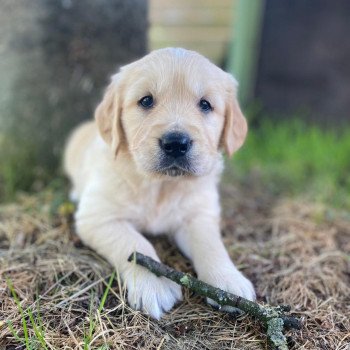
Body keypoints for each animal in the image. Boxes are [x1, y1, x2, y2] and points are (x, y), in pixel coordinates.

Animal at [63, 47, 254, 320]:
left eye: (205, 104)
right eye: (146, 101)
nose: (176, 143)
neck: (161, 186)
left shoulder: (198, 215)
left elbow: (211, 244)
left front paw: (228, 282)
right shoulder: (98, 217)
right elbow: (135, 244)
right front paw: (154, 284)